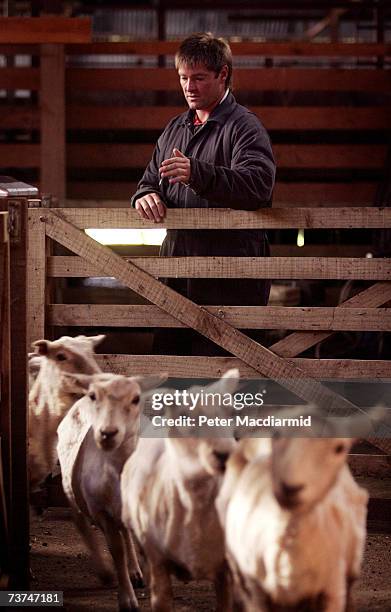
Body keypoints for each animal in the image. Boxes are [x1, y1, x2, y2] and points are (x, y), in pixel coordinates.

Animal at [57, 368, 166, 612]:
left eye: (135, 399)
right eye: (94, 396)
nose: (107, 432)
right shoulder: (102, 512)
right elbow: (116, 551)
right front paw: (127, 599)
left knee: (126, 532)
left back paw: (136, 572)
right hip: (72, 490)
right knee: (81, 522)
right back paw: (106, 572)